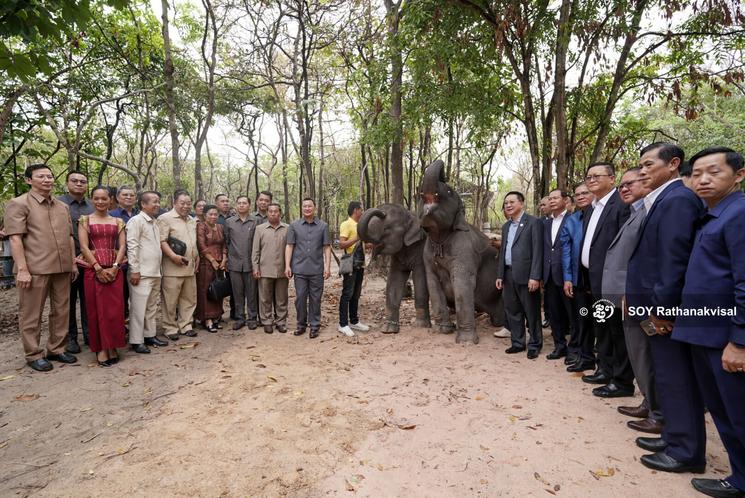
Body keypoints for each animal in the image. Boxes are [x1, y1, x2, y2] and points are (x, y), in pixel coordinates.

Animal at [356, 202, 430, 334]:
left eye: (387, 229)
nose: (381, 211)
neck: (411, 216)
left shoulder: (421, 250)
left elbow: (420, 279)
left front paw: (421, 325)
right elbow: (394, 281)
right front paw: (388, 329)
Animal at [416, 160, 502, 342]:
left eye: (449, 191)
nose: (442, 167)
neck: (440, 237)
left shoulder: (465, 250)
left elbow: (462, 285)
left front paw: (466, 342)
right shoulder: (427, 254)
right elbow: (433, 284)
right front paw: (442, 330)